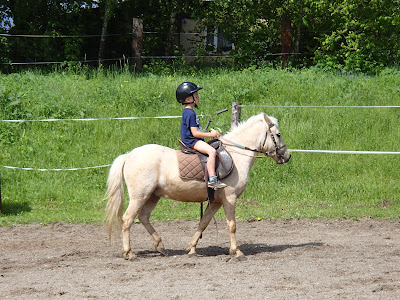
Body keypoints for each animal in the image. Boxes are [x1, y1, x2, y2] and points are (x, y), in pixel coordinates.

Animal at [104, 112, 290, 260]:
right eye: (278, 134)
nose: (287, 156)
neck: (236, 155)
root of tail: (128, 155)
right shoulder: (230, 198)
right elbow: (232, 225)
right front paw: (236, 252)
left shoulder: (215, 201)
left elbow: (203, 223)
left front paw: (192, 248)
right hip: (139, 196)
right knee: (127, 219)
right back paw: (129, 253)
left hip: (153, 196)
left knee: (143, 217)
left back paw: (160, 246)